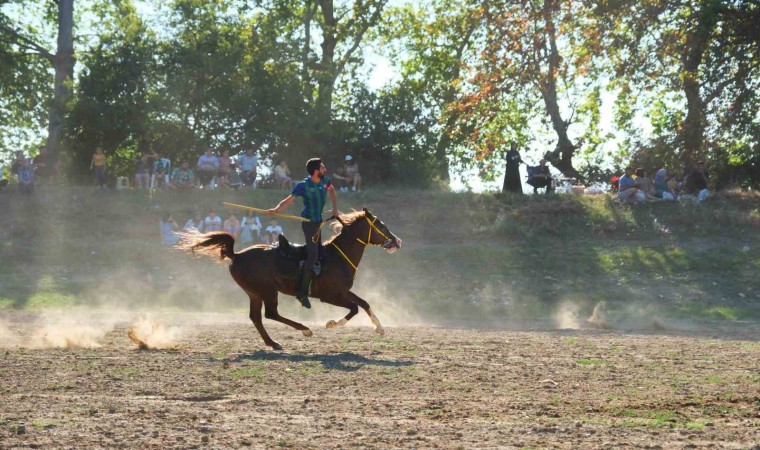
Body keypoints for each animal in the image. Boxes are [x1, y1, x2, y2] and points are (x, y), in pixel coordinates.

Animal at [179, 208, 404, 352]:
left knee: (256, 317)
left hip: (254, 293)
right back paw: (304, 330)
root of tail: (237, 255)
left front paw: (379, 327)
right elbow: (355, 308)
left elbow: (363, 303)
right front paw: (332, 324)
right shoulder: (329, 295)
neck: (336, 256)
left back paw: (273, 343)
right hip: (267, 291)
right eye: (381, 225)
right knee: (270, 314)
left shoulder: (343, 291)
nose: (397, 241)